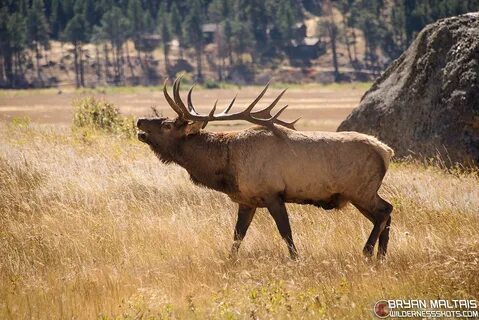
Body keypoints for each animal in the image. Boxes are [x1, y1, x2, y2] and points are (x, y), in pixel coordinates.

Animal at [137, 78, 396, 260]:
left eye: (167, 125)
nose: (140, 121)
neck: (226, 166)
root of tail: (387, 151)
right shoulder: (247, 200)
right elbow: (237, 236)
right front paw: (230, 261)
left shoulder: (273, 194)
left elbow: (286, 232)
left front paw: (295, 259)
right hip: (361, 194)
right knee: (387, 212)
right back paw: (381, 257)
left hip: (360, 190)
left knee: (384, 211)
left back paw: (367, 252)